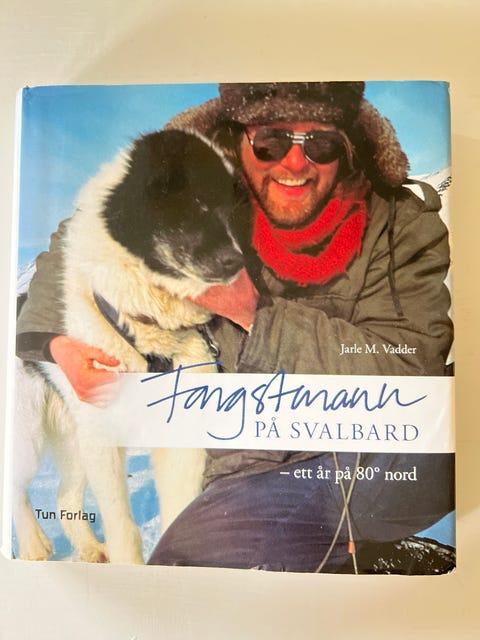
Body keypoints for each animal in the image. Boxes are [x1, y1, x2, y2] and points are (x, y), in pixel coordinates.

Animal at [13, 129, 244, 563]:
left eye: (234, 209)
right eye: (196, 204)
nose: (236, 263)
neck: (143, 322)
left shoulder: (181, 437)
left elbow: (177, 513)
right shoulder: (104, 435)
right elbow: (124, 528)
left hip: (75, 438)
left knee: (66, 497)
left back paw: (90, 549)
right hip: (32, 436)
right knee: (16, 486)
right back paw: (33, 545)